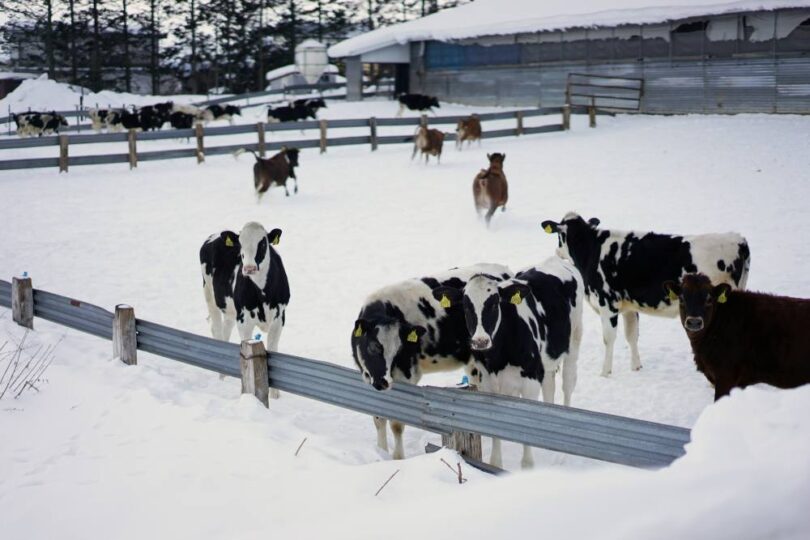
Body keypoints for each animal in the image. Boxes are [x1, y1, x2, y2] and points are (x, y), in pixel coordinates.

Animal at [200, 223, 290, 399]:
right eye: (240, 244)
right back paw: (221, 376)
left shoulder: (279, 317)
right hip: (209, 294)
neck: (263, 293)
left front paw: (275, 395)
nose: (249, 268)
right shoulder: (244, 319)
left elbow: (273, 348)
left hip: (229, 309)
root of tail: (215, 235)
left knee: (226, 330)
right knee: (217, 330)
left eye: (263, 243)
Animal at [352, 263, 512, 460]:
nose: (383, 382)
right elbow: (378, 417)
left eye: (398, 350)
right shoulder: (368, 377)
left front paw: (398, 458)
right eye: (373, 347)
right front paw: (381, 452)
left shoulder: (407, 375)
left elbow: (397, 423)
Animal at [431, 257, 583, 469]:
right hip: (546, 363)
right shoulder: (487, 382)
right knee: (549, 386)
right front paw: (496, 463)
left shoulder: (530, 380)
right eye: (466, 306)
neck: (498, 358)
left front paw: (528, 464)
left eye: (495, 304)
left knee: (568, 384)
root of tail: (555, 260)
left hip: (574, 339)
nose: (480, 341)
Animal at [541, 212, 751, 377]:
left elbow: (609, 338)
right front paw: (636, 367)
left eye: (559, 236)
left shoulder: (607, 303)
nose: (557, 252)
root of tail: (739, 239)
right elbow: (632, 335)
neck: (591, 250)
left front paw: (605, 372)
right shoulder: (628, 306)